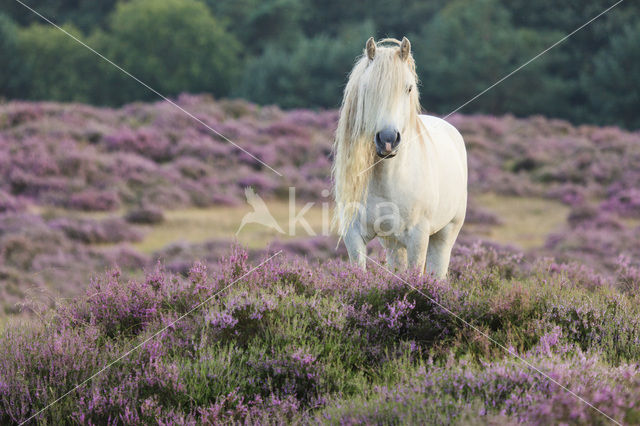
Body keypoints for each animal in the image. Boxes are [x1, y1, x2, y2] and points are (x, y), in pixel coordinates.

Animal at [332, 37, 468, 280]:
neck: (387, 179)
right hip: (393, 243)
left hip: (445, 234)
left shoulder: (418, 238)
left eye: (409, 88)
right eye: (367, 88)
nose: (387, 139)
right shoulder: (353, 235)